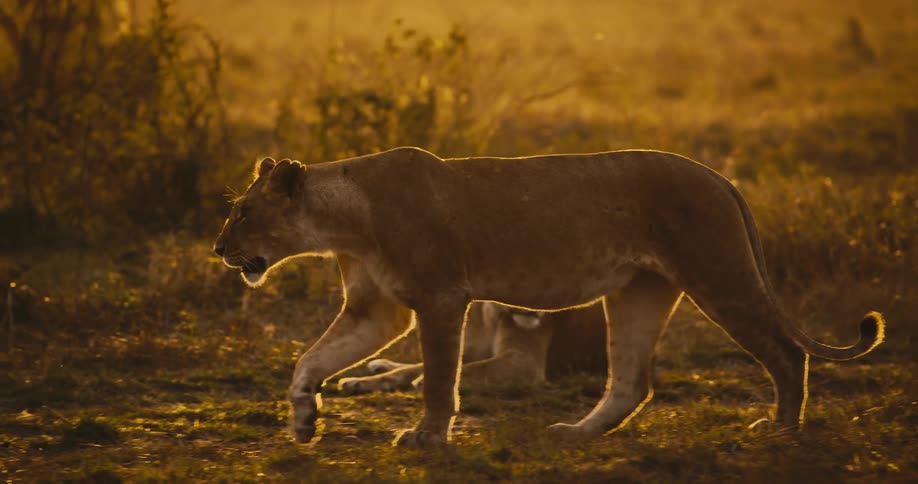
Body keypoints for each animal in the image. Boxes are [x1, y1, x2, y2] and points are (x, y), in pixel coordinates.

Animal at [336, 302, 607, 395]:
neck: (491, 313)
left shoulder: (523, 362)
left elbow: (473, 369)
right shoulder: (474, 349)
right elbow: (414, 369)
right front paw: (360, 382)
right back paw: (379, 364)